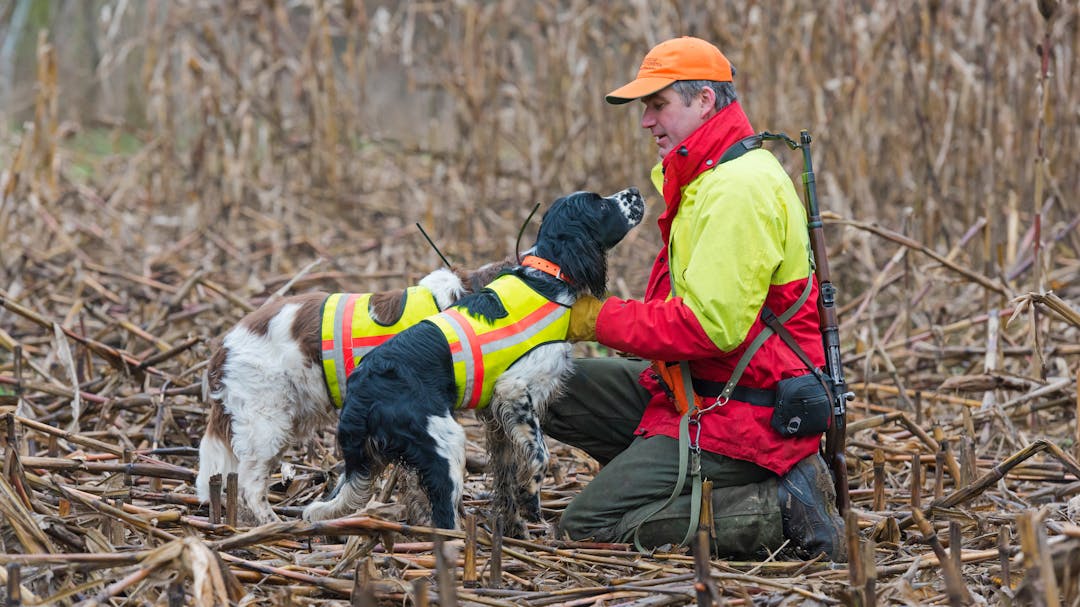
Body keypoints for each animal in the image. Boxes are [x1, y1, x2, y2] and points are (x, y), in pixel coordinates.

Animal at [300, 186, 643, 531]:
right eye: (601, 205)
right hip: (447, 444)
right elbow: (540, 454)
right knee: (443, 513)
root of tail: (362, 392)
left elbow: (506, 471)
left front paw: (514, 524)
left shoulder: (496, 413)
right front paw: (530, 499)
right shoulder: (514, 389)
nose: (636, 192)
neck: (547, 276)